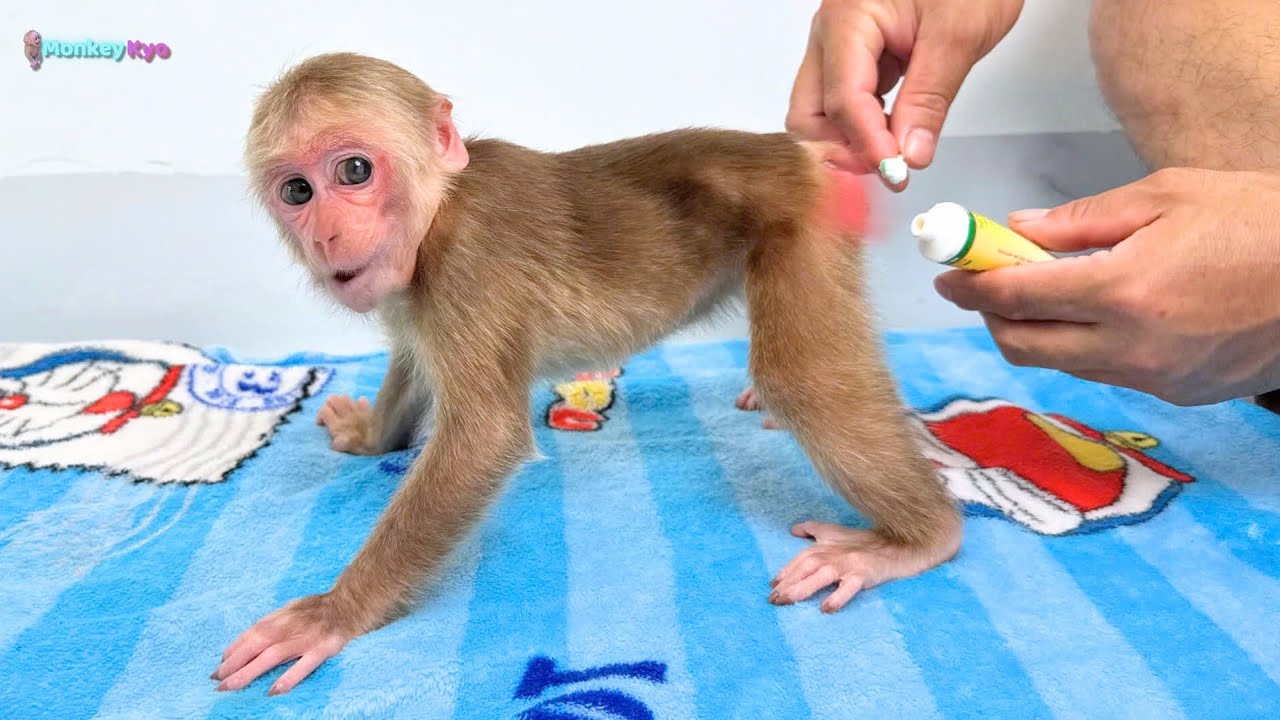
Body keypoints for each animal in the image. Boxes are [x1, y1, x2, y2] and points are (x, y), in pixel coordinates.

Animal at [211, 52, 962, 696]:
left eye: (355, 172)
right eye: (298, 191)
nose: (325, 233)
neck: (440, 208)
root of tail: (797, 153)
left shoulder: (468, 260)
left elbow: (483, 438)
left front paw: (333, 612)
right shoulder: (409, 293)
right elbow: (413, 363)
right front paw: (371, 437)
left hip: (803, 221)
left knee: (803, 375)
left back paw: (921, 539)